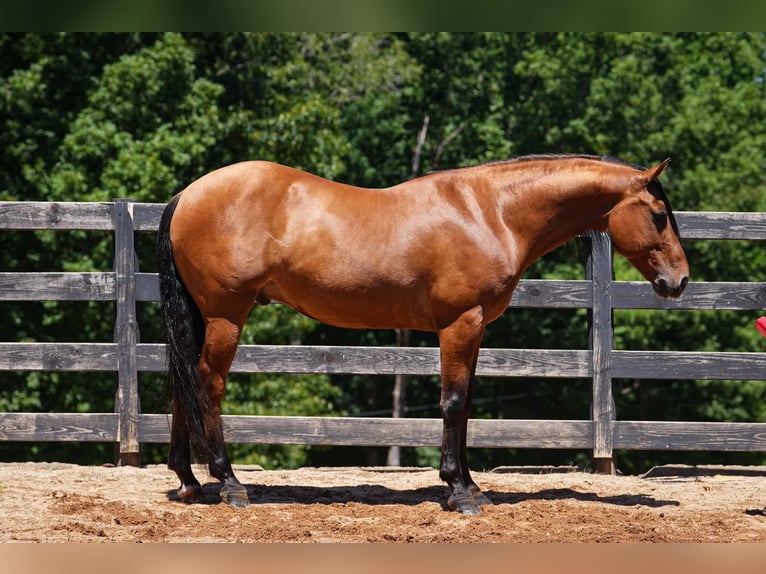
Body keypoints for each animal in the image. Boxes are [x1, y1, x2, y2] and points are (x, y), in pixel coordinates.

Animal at [156, 154, 689, 515]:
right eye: (659, 215)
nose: (679, 281)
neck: (491, 212)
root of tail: (187, 195)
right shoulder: (460, 323)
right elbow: (452, 402)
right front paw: (457, 492)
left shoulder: (474, 329)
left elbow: (466, 404)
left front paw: (471, 486)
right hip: (226, 316)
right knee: (207, 385)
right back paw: (228, 483)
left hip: (204, 318)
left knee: (185, 383)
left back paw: (188, 481)